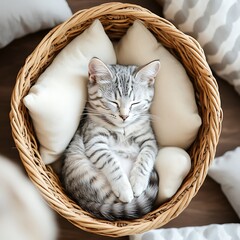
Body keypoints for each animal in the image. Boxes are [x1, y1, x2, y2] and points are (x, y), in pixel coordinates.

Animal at [61, 57, 160, 220]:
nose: (124, 116)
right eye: (113, 102)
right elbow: (110, 162)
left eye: (135, 103)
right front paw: (125, 188)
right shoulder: (94, 141)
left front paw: (138, 182)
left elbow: (146, 158)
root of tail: (79, 199)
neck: (123, 129)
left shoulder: (149, 140)